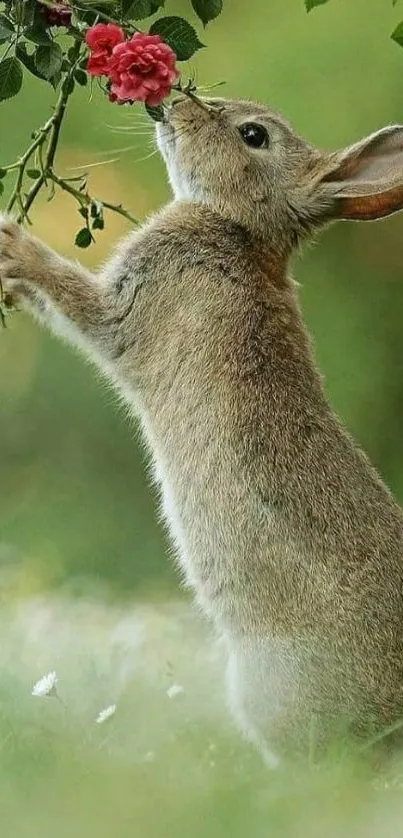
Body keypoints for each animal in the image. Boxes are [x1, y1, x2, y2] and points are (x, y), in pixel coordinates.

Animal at [2, 93, 403, 768]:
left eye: (253, 134)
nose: (171, 105)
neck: (238, 226)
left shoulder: (126, 306)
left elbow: (73, 299)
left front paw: (12, 244)